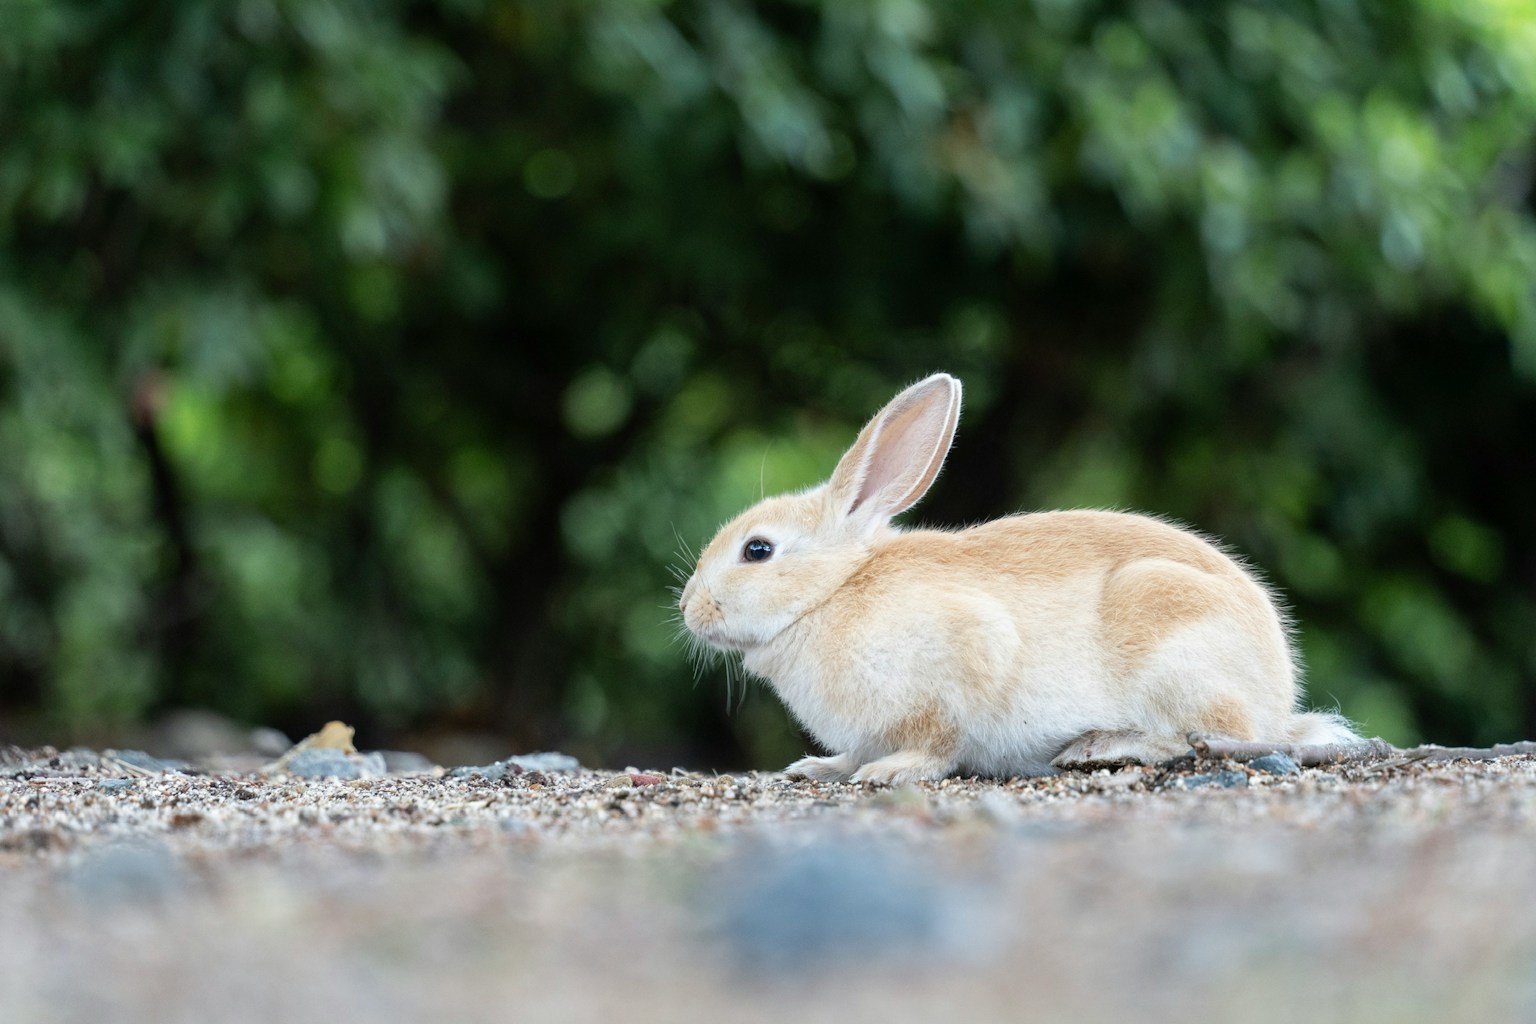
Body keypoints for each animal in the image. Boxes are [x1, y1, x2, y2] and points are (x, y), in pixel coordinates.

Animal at [678, 372, 1357, 784]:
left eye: (757, 550)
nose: (690, 609)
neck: (829, 594)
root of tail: (1278, 697)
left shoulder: (966, 654)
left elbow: (937, 742)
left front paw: (889, 774)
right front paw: (817, 768)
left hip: (1174, 641)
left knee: (1211, 736)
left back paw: (1103, 747)